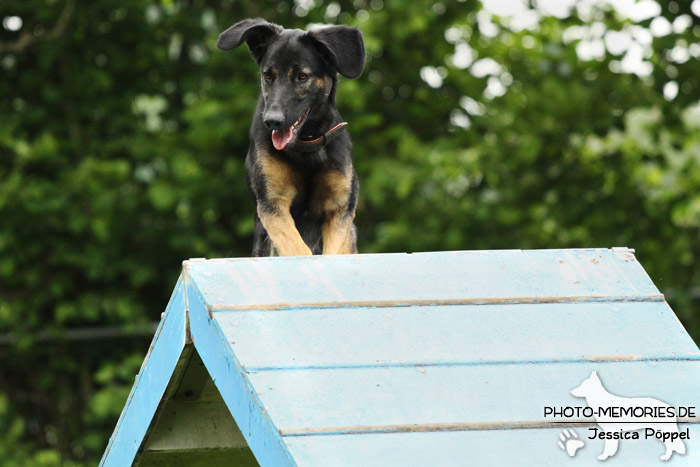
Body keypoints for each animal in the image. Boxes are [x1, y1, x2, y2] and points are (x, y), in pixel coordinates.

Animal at [216, 18, 364, 258]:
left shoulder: (339, 209)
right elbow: (297, 248)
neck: (307, 143)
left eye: (302, 76)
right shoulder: (273, 204)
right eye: (268, 76)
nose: (272, 121)